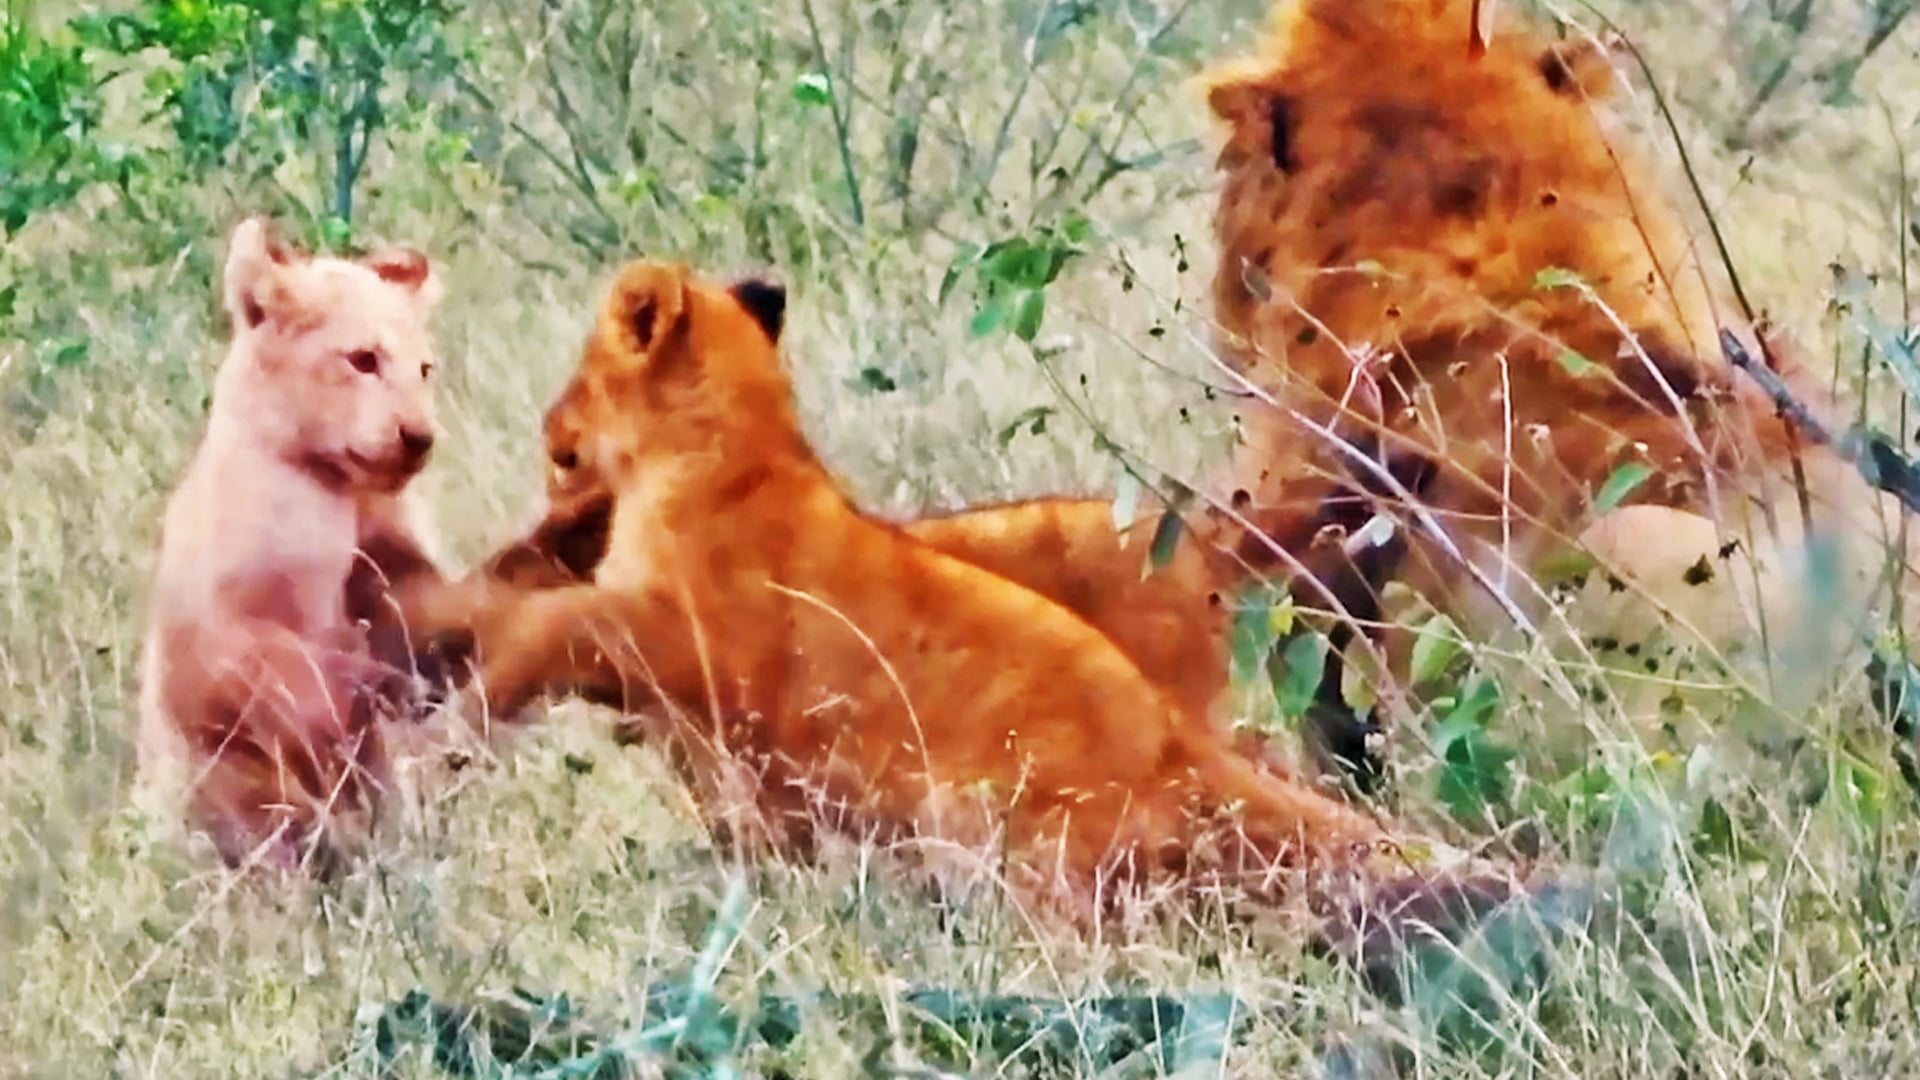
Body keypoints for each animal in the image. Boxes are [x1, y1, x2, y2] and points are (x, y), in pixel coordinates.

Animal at [135, 217, 451, 874]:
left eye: (425, 367)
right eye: (363, 358)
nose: (418, 436)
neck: (331, 480)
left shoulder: (386, 532)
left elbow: (406, 587)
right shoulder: (228, 614)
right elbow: (264, 669)